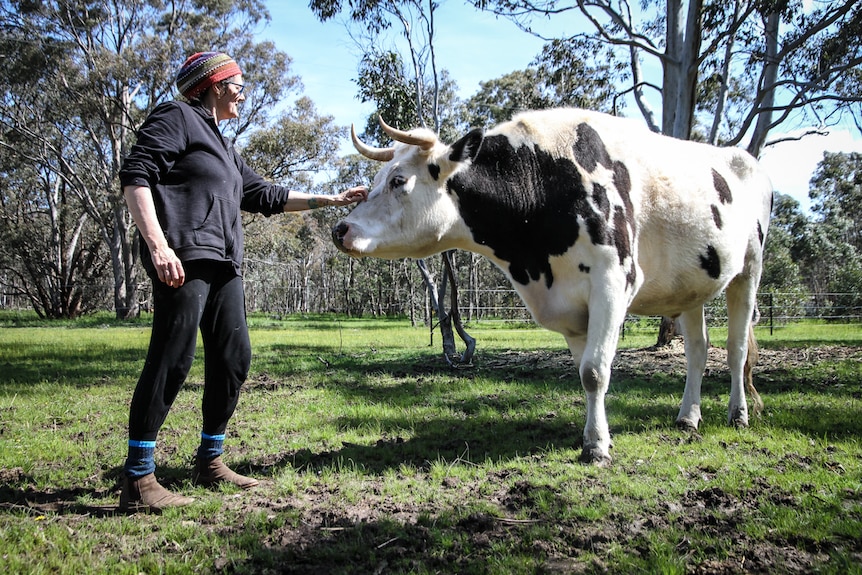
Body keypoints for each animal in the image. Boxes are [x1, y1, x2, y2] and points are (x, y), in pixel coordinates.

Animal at [332, 108, 776, 466]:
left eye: (398, 181)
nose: (340, 229)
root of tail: (744, 158)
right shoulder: (570, 306)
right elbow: (585, 372)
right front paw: (595, 436)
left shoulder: (613, 282)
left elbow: (595, 371)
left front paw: (596, 448)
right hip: (690, 287)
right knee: (698, 351)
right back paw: (688, 417)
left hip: (749, 272)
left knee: (736, 349)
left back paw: (738, 415)